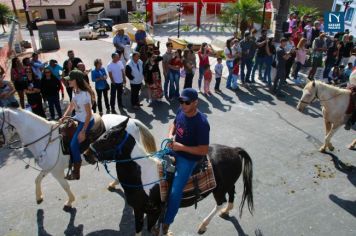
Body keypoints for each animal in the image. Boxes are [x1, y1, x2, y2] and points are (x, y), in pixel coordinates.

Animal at [0, 108, 156, 209]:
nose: (2, 143)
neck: (45, 139)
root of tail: (133, 121)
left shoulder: (56, 171)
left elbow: (65, 185)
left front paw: (70, 201)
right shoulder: (49, 168)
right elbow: (37, 179)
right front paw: (39, 197)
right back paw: (113, 184)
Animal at [83, 119, 253, 235]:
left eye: (108, 138)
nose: (86, 154)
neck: (143, 175)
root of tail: (234, 150)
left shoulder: (154, 212)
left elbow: (152, 229)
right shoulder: (138, 210)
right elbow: (138, 230)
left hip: (218, 190)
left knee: (219, 202)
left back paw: (204, 225)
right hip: (226, 185)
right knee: (231, 192)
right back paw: (226, 211)